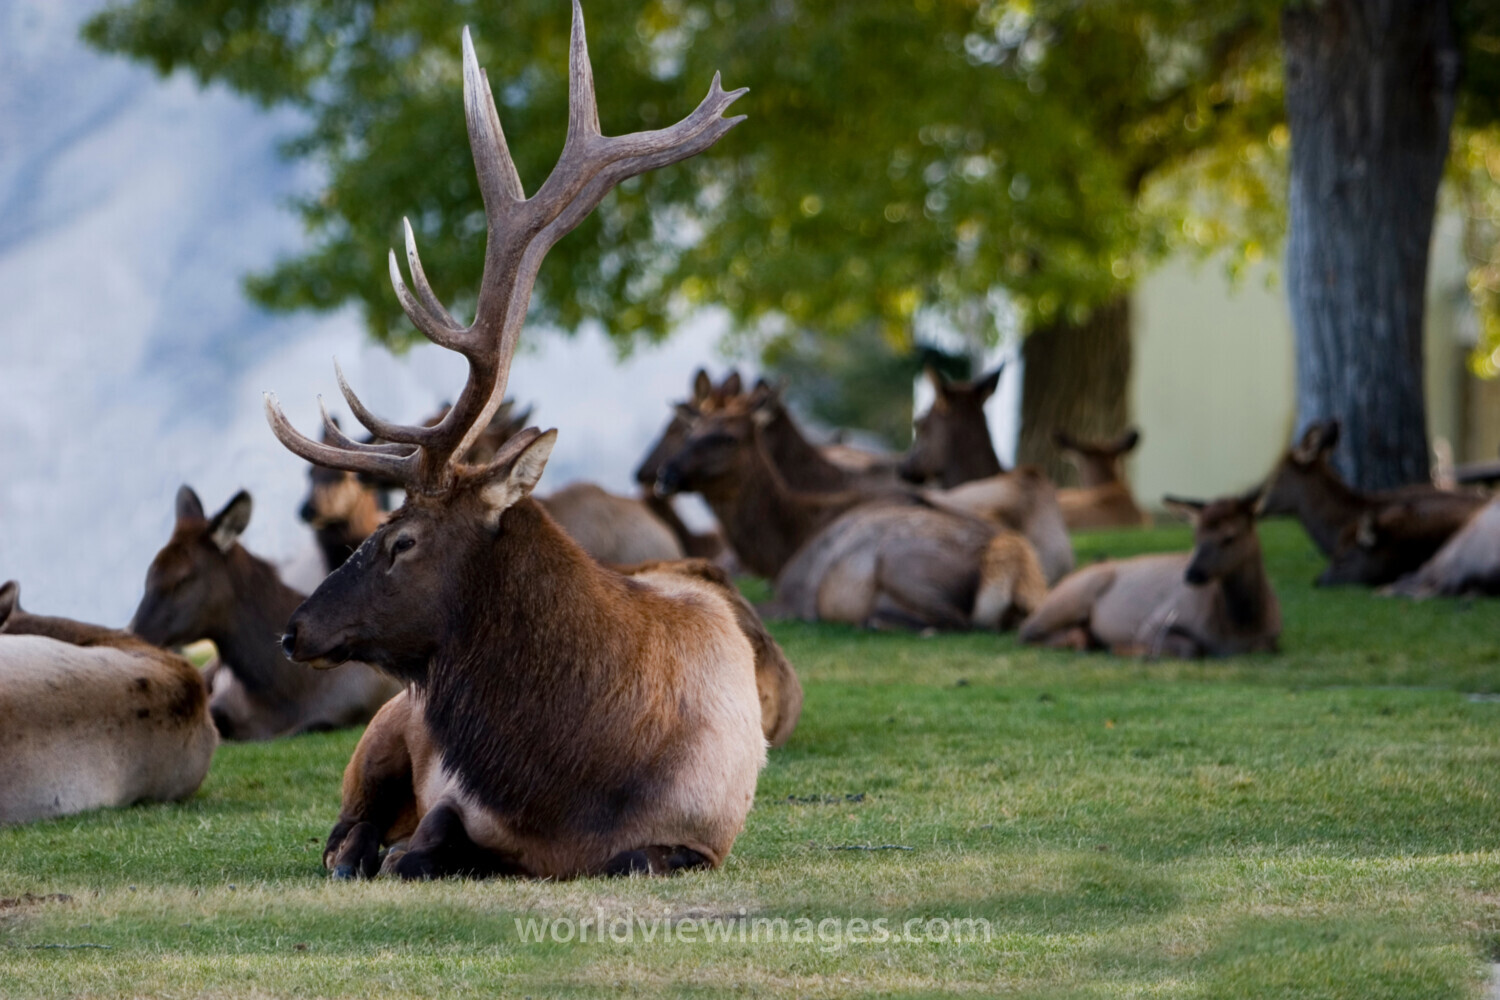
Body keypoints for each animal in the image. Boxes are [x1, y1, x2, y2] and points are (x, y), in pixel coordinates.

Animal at [263, 6, 770, 879]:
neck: (575, 778)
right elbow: (421, 845)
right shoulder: (454, 795)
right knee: (345, 831)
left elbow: (630, 856)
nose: (295, 629)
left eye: (401, 539)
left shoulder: (698, 835)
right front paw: (400, 855)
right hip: (385, 730)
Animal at [654, 391, 1047, 630]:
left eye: (728, 437)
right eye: (690, 433)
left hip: (898, 561)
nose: (665, 474)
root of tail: (1017, 564)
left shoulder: (795, 596)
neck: (786, 546)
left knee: (959, 620)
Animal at [1018, 491, 1280, 658]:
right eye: (1195, 536)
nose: (1192, 574)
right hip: (1069, 597)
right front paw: (1126, 649)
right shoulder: (1154, 623)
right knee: (1025, 631)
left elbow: (1265, 646)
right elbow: (1191, 648)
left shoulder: (1271, 640)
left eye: (1229, 536)